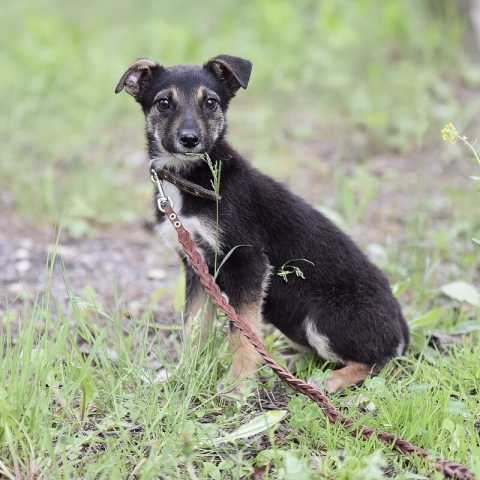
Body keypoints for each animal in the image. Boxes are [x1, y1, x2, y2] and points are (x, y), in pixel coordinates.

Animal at [116, 55, 408, 394]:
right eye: (163, 103)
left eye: (211, 102)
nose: (190, 140)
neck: (190, 177)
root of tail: (403, 328)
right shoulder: (198, 267)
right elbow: (194, 328)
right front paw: (184, 375)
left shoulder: (247, 261)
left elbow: (242, 333)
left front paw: (236, 385)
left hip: (323, 320)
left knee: (380, 362)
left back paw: (330, 380)